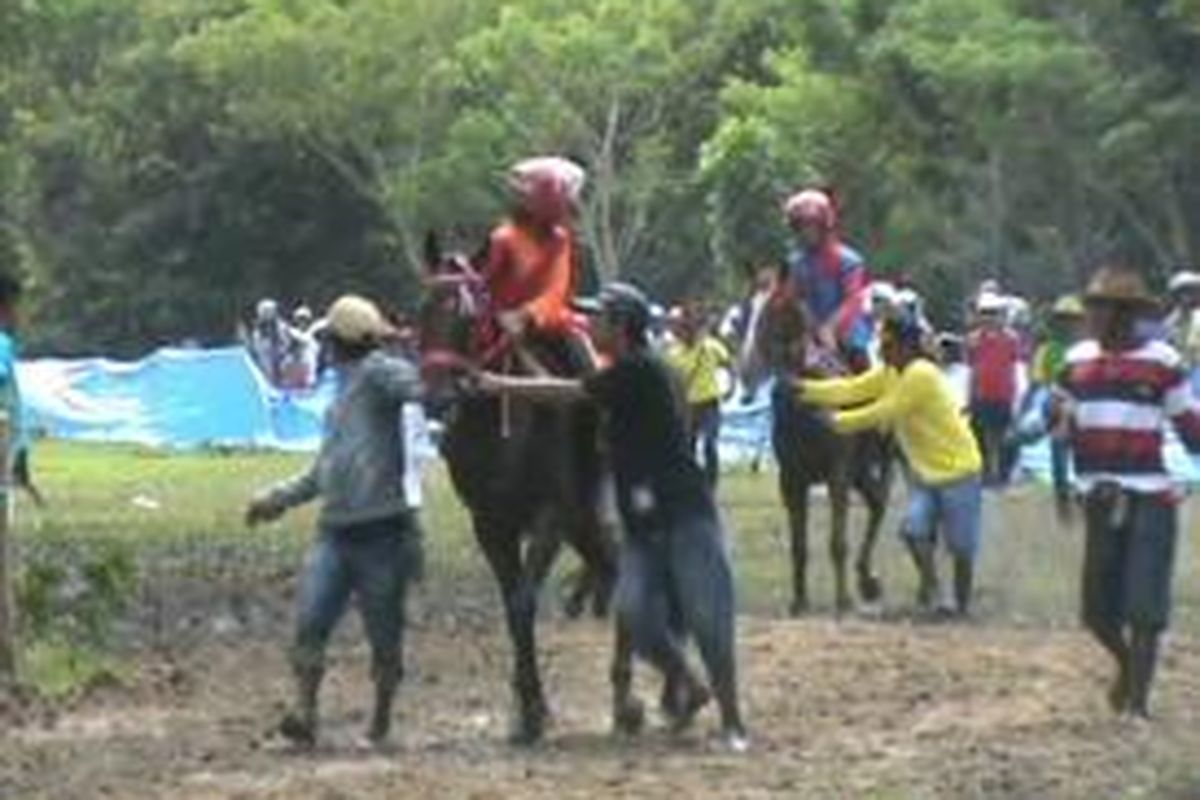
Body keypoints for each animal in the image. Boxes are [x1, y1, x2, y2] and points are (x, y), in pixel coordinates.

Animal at [420, 232, 648, 743]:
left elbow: (524, 603)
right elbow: (511, 608)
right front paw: (529, 708)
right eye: (422, 307)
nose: (437, 397)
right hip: (584, 526)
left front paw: (532, 711)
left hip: (597, 515)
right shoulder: (490, 524)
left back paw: (628, 700)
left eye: (469, 316)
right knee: (610, 568)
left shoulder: (551, 517)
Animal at [744, 287, 897, 614]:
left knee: (880, 502)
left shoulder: (837, 474)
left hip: (870, 462)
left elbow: (837, 541)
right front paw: (799, 600)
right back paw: (867, 579)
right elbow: (798, 546)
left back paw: (866, 582)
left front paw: (843, 600)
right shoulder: (791, 480)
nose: (747, 370)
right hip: (859, 472)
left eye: (770, 313)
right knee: (877, 502)